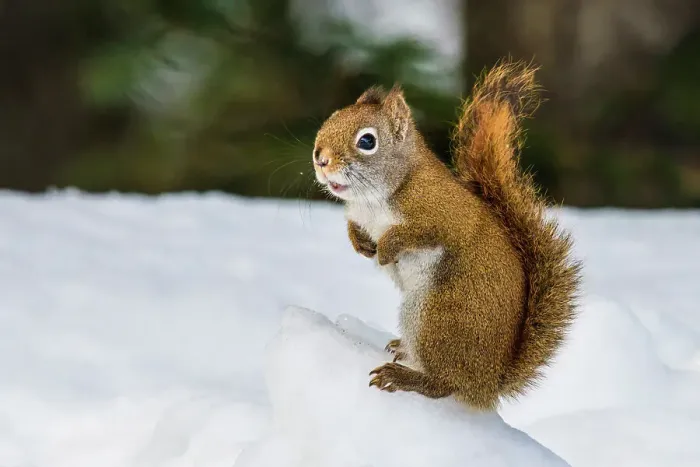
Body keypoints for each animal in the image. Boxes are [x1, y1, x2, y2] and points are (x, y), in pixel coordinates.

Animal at [312, 59, 582, 411]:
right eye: (331, 119)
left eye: (367, 141)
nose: (320, 158)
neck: (373, 198)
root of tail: (488, 384)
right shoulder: (357, 216)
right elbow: (352, 228)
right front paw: (363, 245)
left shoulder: (443, 215)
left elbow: (418, 233)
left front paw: (386, 249)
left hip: (437, 318)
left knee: (445, 384)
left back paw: (403, 378)